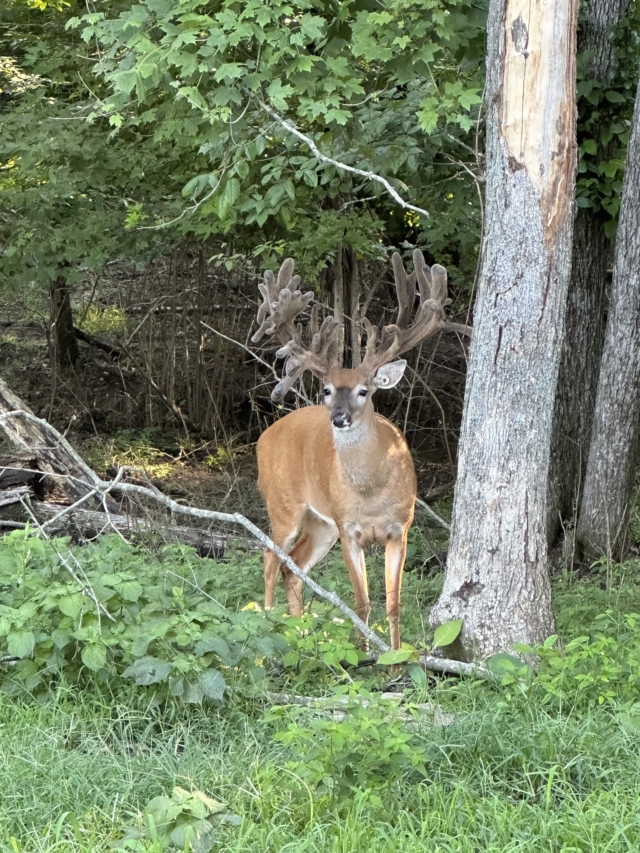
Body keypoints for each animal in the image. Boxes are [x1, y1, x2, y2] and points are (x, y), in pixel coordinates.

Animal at [252, 250, 470, 650]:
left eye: (364, 390)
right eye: (325, 389)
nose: (339, 418)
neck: (370, 492)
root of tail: (264, 437)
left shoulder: (400, 526)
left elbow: (394, 604)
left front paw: (395, 658)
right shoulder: (348, 527)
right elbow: (362, 602)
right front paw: (365, 653)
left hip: (321, 524)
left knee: (294, 566)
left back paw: (298, 631)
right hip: (284, 504)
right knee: (270, 556)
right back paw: (268, 624)